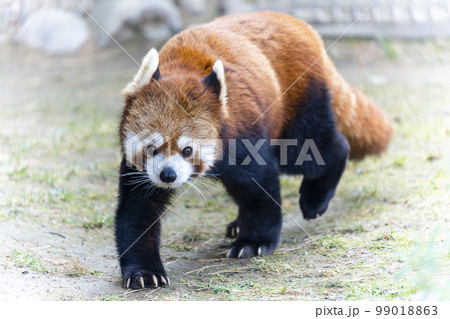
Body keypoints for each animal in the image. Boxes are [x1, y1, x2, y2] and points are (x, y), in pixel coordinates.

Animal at [114, 11, 392, 290]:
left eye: (187, 150)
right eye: (151, 147)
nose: (168, 175)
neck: (181, 68)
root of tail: (302, 27)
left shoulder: (244, 136)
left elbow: (259, 188)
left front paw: (253, 242)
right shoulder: (140, 171)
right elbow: (137, 211)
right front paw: (144, 271)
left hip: (295, 108)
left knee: (321, 149)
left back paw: (315, 199)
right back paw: (239, 223)